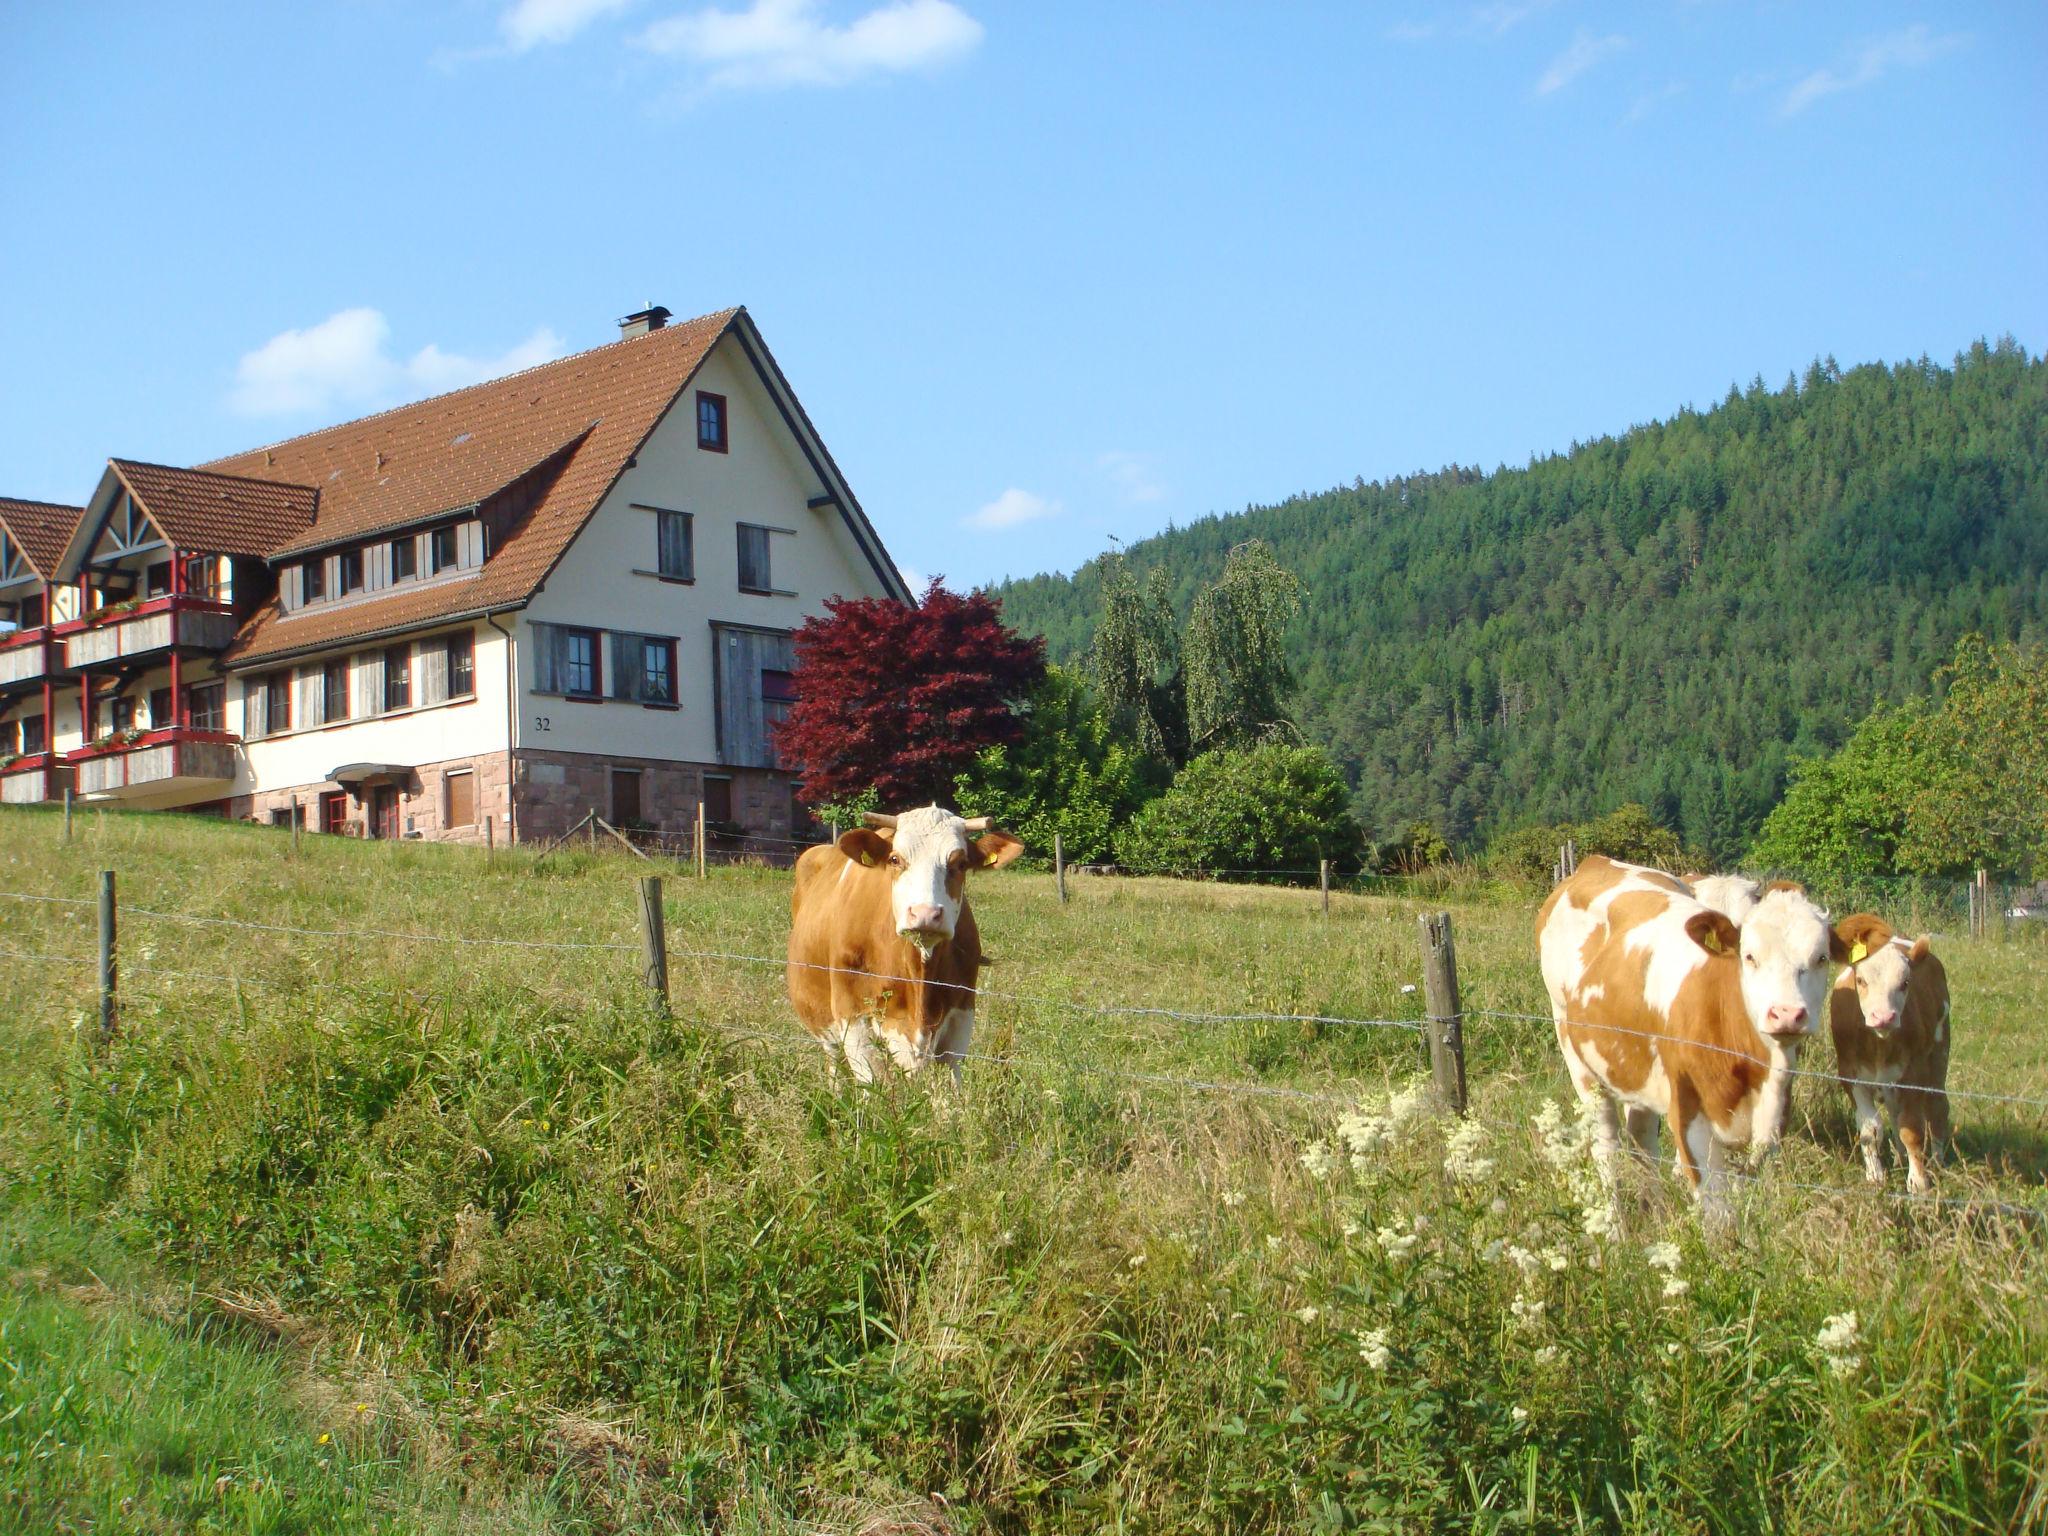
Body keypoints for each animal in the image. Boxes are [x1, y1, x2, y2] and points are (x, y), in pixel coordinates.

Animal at [794, 806, 1032, 1081]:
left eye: (960, 863)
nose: (925, 913)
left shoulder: (961, 1015)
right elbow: (872, 1080)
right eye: (895, 859)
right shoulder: (852, 1016)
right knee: (834, 1062)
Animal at [1540, 847, 1859, 1220]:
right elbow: (1715, 1207)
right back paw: (1615, 1222)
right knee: (1606, 1141)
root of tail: (1596, 862)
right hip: (1572, 1044)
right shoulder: (1687, 1107)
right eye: (1749, 956)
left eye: (1821, 958)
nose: (1786, 1014)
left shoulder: (1774, 1113)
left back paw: (1653, 1209)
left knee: (1642, 1136)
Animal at [1835, 921, 1957, 1196]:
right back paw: (1901, 1159)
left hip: (1938, 1054)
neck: (1878, 1043)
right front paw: (1875, 1176)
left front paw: (1918, 1181)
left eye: (1905, 982)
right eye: (1860, 980)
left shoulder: (1914, 1073)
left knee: (1937, 1108)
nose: (1883, 1017)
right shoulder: (1850, 1075)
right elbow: (1870, 1129)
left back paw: (1937, 1162)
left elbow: (1911, 1129)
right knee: (1894, 1111)